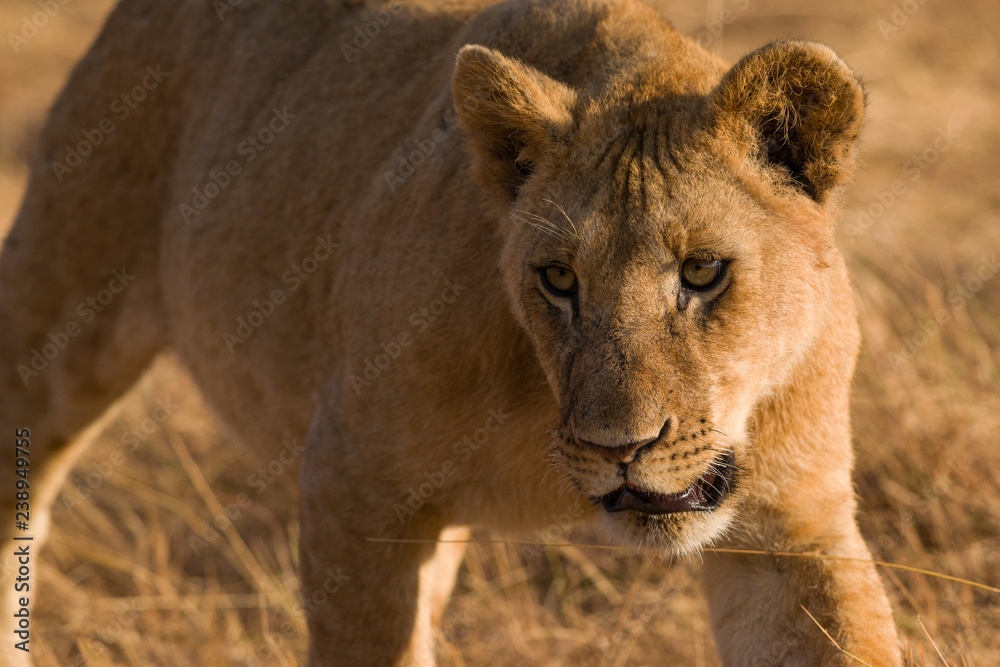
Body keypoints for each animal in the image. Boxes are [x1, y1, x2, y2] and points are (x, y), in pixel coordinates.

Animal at [0, 0, 902, 664]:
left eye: (704, 270)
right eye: (559, 279)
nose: (618, 448)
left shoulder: (791, 529)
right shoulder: (351, 483)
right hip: (58, 304)